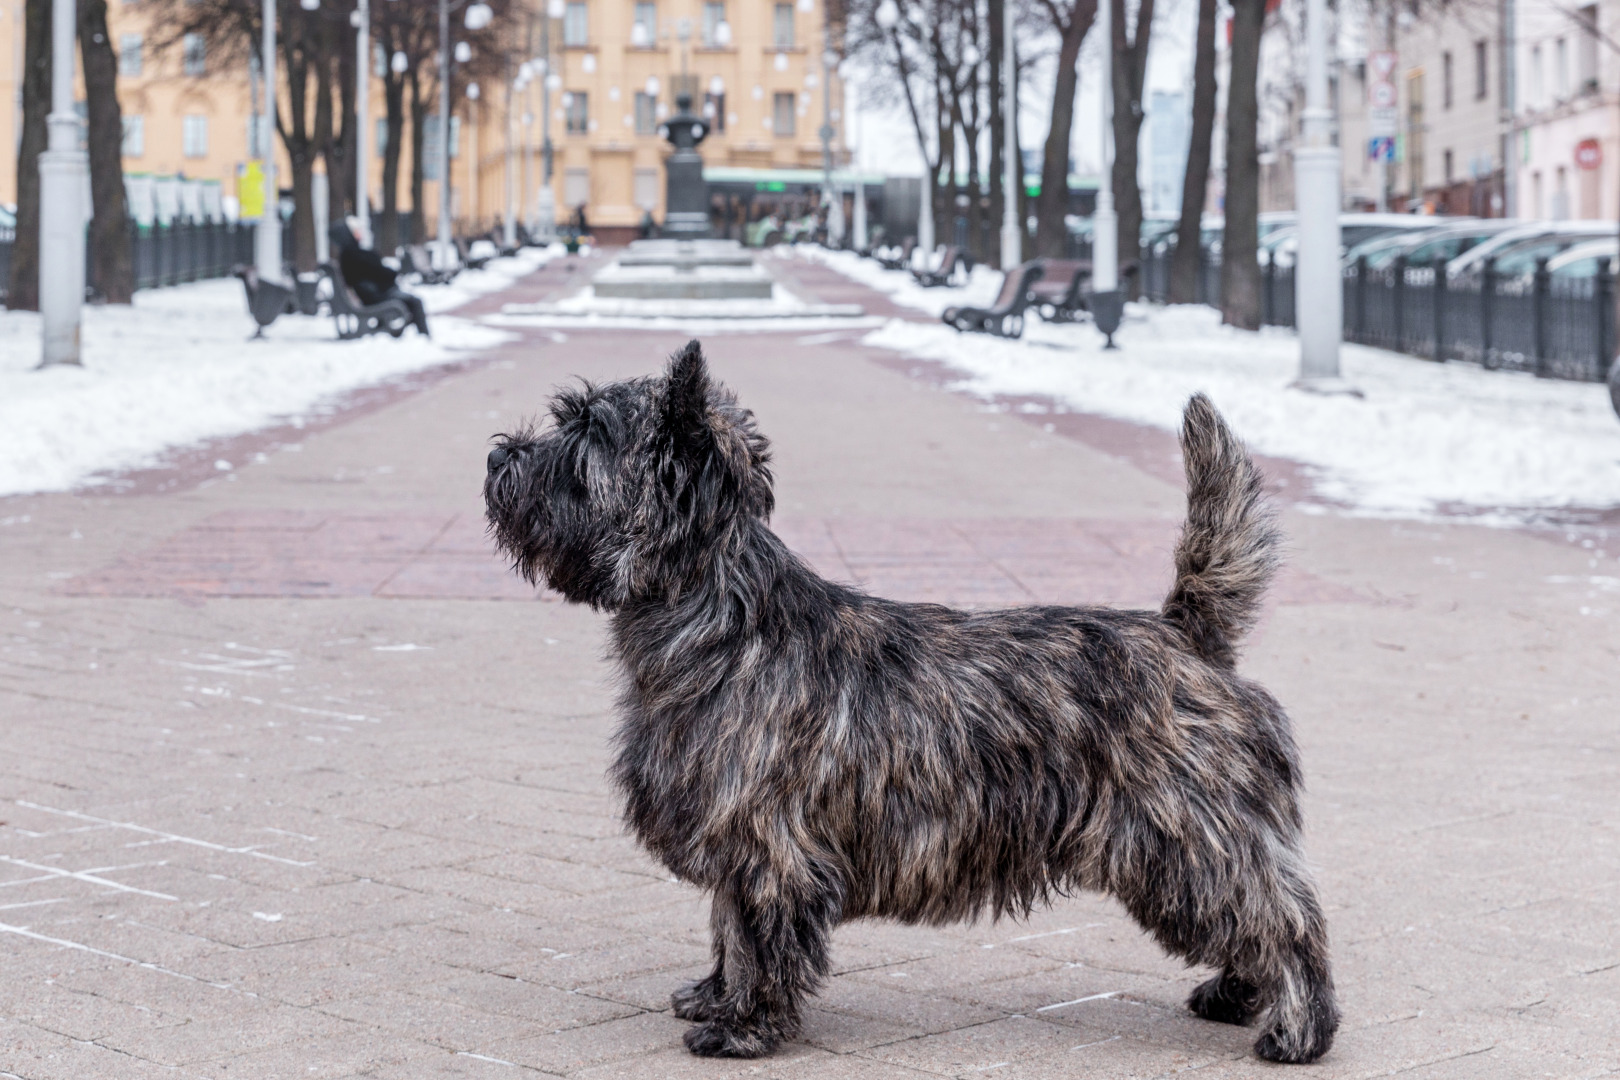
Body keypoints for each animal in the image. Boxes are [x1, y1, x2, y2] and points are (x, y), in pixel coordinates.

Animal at [482, 344, 1341, 1062]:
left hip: (1190, 837)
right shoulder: (733, 839)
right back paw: (1235, 995)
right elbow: (728, 926)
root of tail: (1188, 636)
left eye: (587, 434)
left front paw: (744, 1028)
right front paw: (716, 998)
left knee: (1284, 917)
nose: (498, 455)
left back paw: (1297, 1031)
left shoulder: (767, 842)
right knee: (1257, 918)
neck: (719, 621)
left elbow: (759, 934)